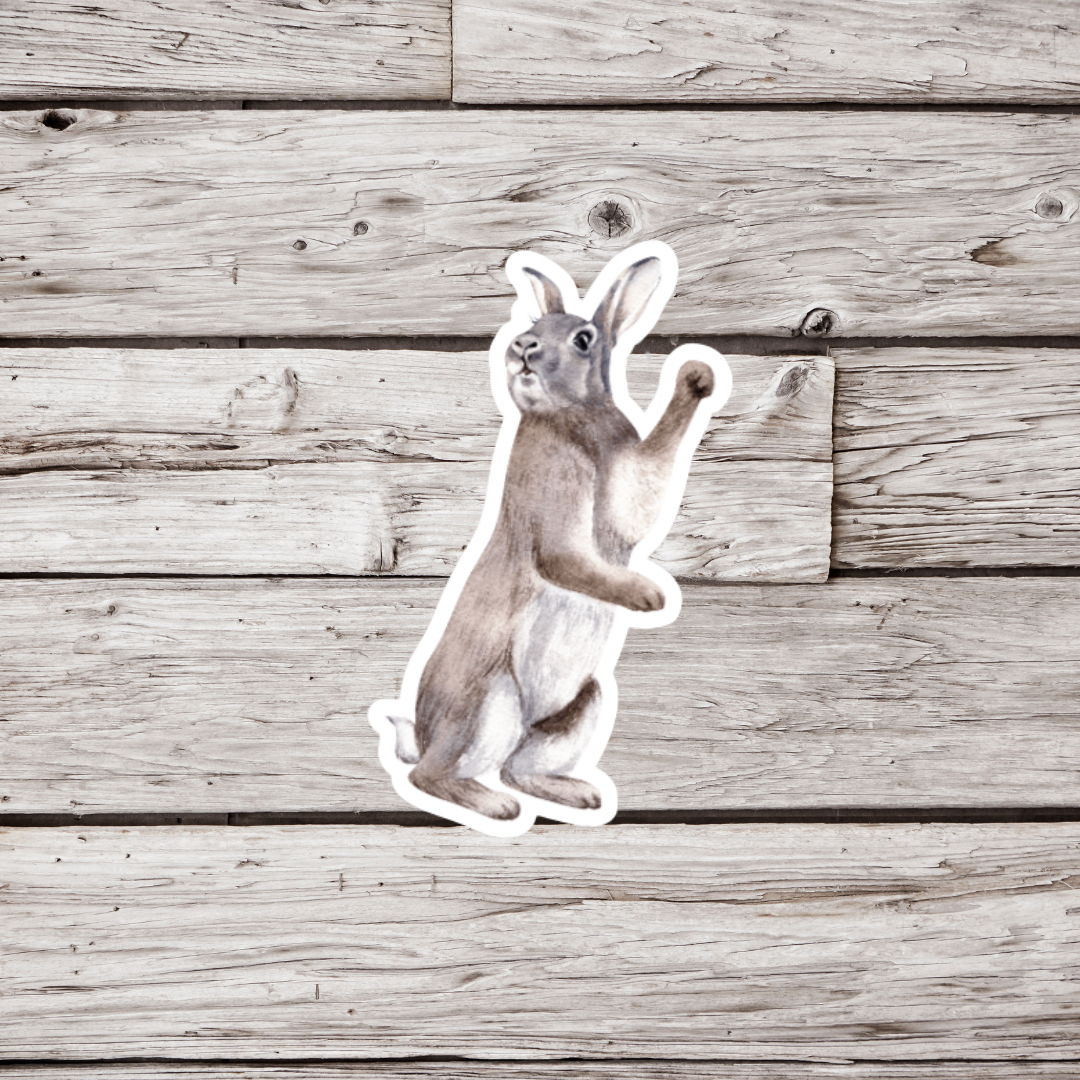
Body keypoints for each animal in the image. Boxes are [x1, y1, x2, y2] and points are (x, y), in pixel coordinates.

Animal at [369, 241, 731, 835]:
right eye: (533, 326)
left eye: (583, 338)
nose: (521, 346)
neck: (567, 414)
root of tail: (421, 736)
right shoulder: (563, 522)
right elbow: (567, 559)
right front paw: (648, 596)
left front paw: (698, 372)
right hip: (489, 703)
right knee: (432, 776)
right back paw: (493, 805)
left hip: (580, 704)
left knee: (517, 769)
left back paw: (576, 794)